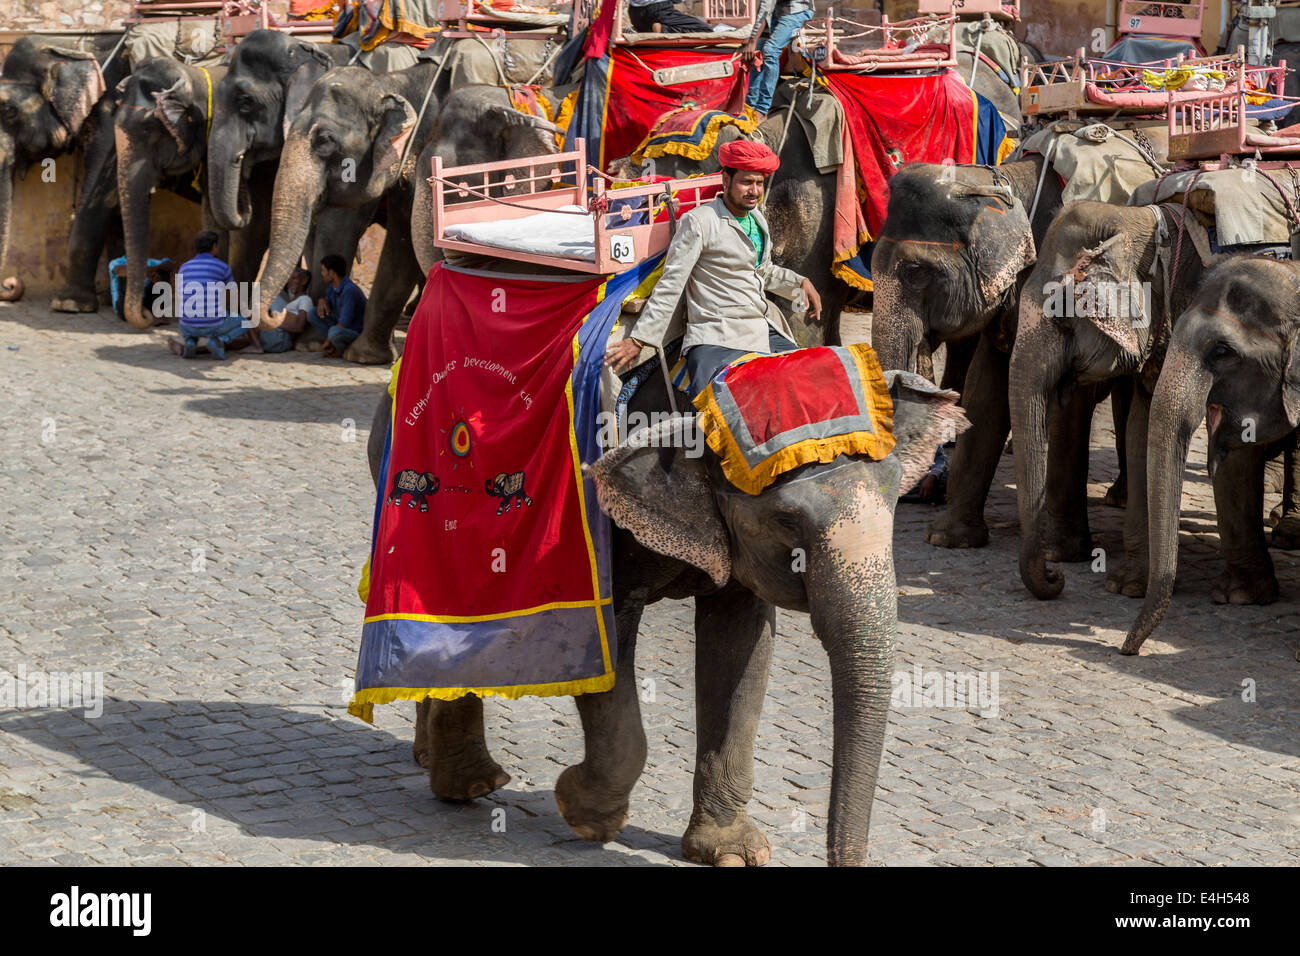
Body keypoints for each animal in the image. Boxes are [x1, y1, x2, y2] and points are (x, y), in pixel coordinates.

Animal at [364, 358, 967, 868]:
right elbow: (606, 642)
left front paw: (731, 854)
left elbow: (741, 651)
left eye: (895, 499)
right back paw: (469, 785)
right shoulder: (601, 521)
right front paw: (582, 813)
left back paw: (437, 762)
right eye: (788, 522)